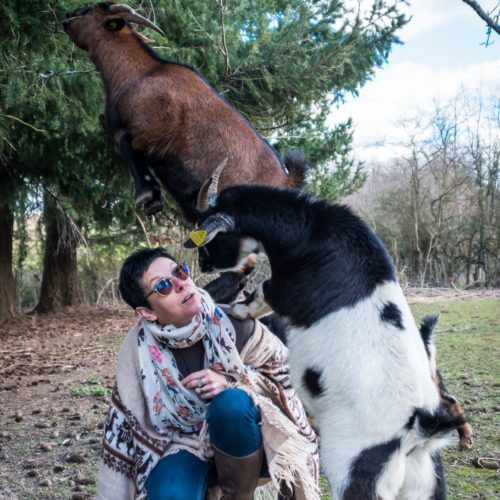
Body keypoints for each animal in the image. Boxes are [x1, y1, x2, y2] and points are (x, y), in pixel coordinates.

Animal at [62, 1, 304, 218]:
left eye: (88, 10)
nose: (65, 19)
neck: (139, 74)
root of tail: (288, 180)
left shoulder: (154, 128)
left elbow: (127, 144)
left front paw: (148, 195)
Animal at [186, 185, 466, 500]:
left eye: (208, 239)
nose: (203, 265)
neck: (308, 227)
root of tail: (418, 429)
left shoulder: (284, 287)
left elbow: (260, 293)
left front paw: (237, 310)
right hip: (425, 484)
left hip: (353, 472)